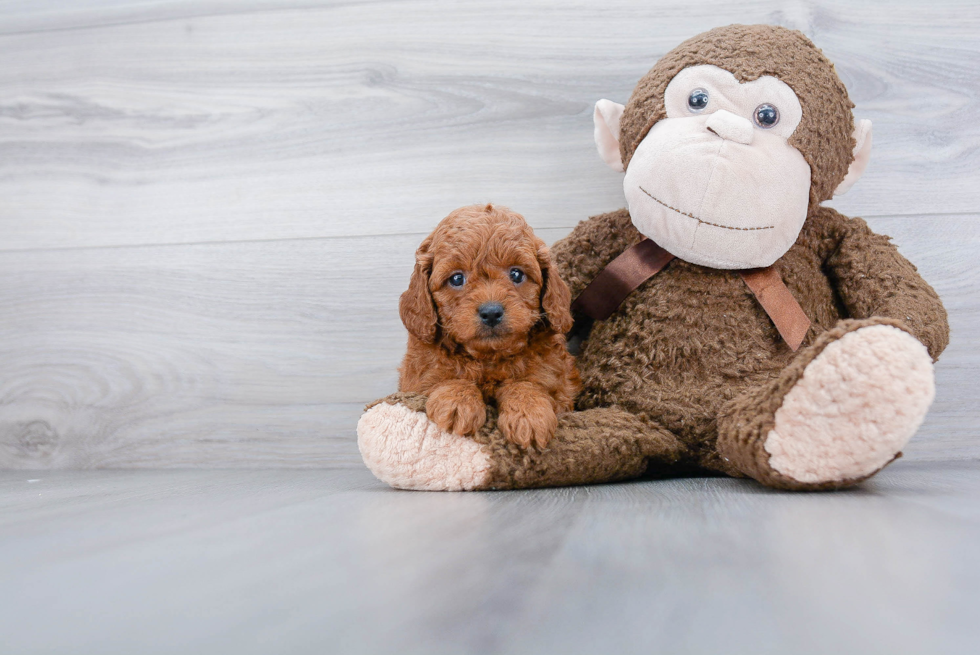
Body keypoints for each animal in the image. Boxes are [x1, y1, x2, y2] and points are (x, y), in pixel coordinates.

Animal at [398, 205, 580, 452]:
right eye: (457, 278)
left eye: (516, 274)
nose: (491, 312)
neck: (489, 358)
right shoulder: (416, 380)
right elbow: (443, 378)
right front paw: (457, 401)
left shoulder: (558, 385)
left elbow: (528, 383)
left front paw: (529, 414)